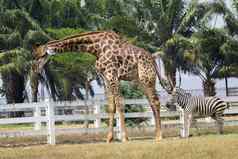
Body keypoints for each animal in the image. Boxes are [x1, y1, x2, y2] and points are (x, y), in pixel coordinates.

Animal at [32, 31, 173, 143]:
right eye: (34, 56)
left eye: (42, 55)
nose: (35, 69)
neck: (96, 49)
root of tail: (153, 59)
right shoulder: (106, 78)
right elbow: (111, 107)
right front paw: (109, 138)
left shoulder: (112, 75)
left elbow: (120, 104)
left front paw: (124, 137)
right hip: (140, 81)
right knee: (152, 103)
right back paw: (156, 134)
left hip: (147, 78)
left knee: (155, 101)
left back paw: (159, 136)